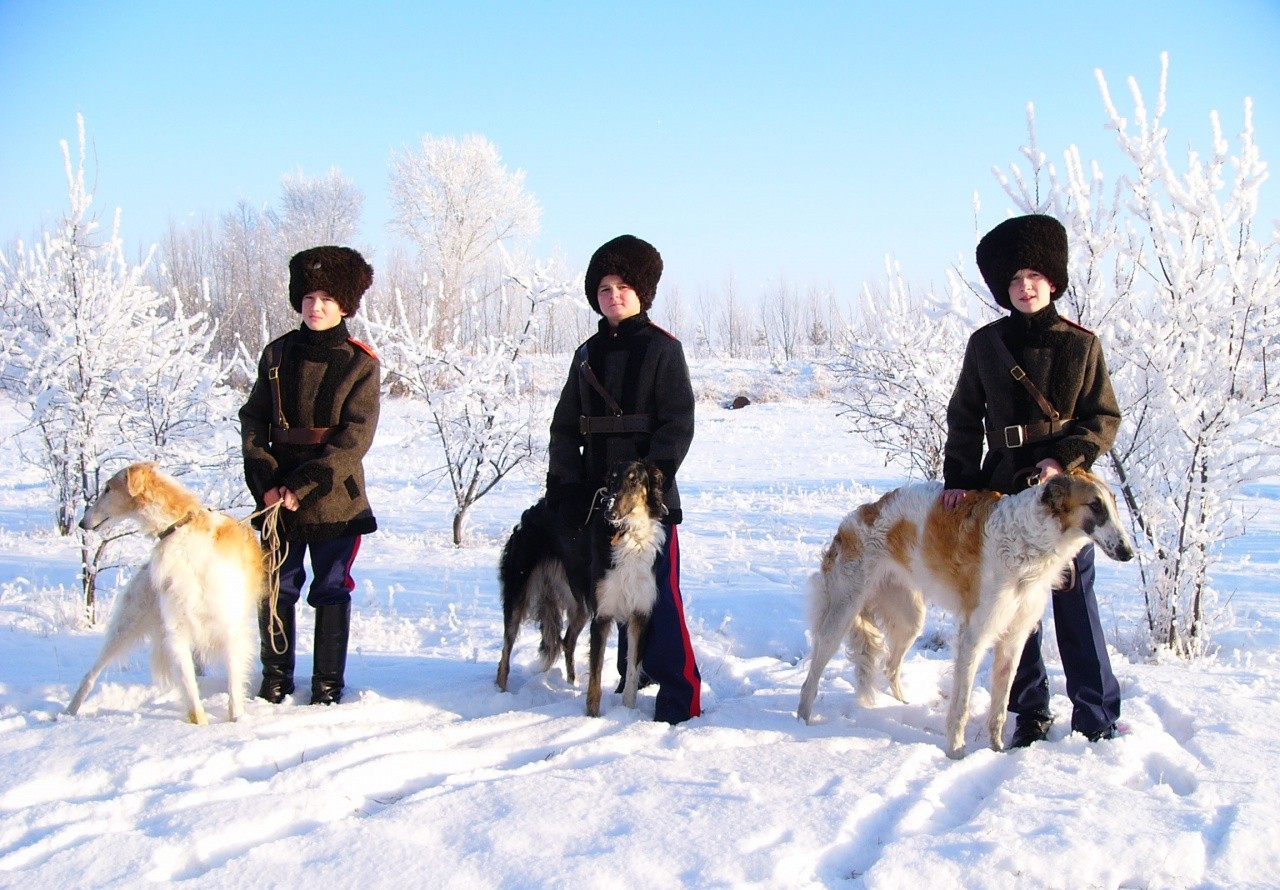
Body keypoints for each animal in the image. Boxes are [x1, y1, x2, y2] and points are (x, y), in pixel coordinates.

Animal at [65, 463, 267, 727]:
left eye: (108, 489)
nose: (82, 523)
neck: (179, 531)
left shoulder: (229, 628)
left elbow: (234, 691)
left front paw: (236, 722)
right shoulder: (176, 631)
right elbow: (191, 696)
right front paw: (201, 726)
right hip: (127, 625)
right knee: (91, 673)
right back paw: (68, 712)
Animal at [494, 458, 665, 717]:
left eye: (634, 481)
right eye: (610, 481)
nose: (609, 511)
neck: (628, 535)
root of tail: (532, 512)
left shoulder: (640, 614)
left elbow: (632, 675)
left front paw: (627, 714)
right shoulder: (602, 615)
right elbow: (595, 679)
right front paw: (592, 717)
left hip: (580, 605)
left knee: (566, 641)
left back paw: (570, 684)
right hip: (518, 594)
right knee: (504, 655)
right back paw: (500, 696)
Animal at [793, 466, 1136, 758]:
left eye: (1115, 504)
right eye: (1095, 505)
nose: (1128, 552)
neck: (1029, 541)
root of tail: (854, 518)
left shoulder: (1015, 637)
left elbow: (999, 708)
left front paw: (997, 750)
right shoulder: (975, 633)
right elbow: (961, 705)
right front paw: (956, 752)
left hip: (910, 617)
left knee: (890, 665)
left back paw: (903, 702)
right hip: (842, 613)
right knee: (811, 679)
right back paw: (801, 724)